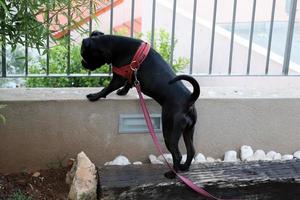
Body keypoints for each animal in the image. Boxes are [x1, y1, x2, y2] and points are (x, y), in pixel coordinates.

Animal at [81, 30, 200, 178]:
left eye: (84, 55)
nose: (82, 63)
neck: (114, 45)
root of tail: (189, 98)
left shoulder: (118, 78)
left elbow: (106, 89)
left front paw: (94, 96)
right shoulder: (131, 75)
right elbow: (129, 83)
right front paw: (122, 92)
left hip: (170, 131)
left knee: (177, 154)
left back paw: (172, 174)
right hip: (188, 130)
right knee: (191, 150)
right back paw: (185, 167)